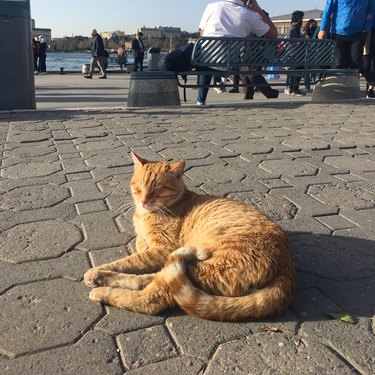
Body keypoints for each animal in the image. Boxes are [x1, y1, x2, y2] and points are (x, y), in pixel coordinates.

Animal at [85, 153, 296, 324]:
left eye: (157, 189)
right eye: (138, 187)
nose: (144, 201)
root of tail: (287, 268)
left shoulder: (163, 249)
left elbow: (129, 261)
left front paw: (100, 268)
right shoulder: (148, 243)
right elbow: (139, 249)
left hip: (205, 267)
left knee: (151, 297)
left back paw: (100, 286)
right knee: (151, 278)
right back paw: (100, 278)